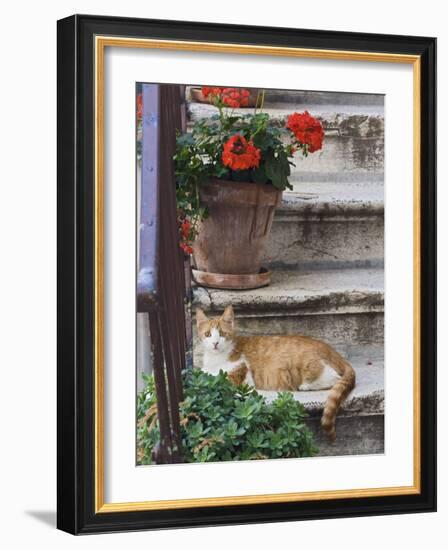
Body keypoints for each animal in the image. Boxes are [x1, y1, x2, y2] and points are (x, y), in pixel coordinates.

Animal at [198, 304, 356, 442]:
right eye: (208, 334)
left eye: (222, 334)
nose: (215, 343)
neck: (215, 359)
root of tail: (335, 353)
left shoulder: (235, 376)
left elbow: (216, 379)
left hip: (307, 366)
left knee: (333, 378)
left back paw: (305, 386)